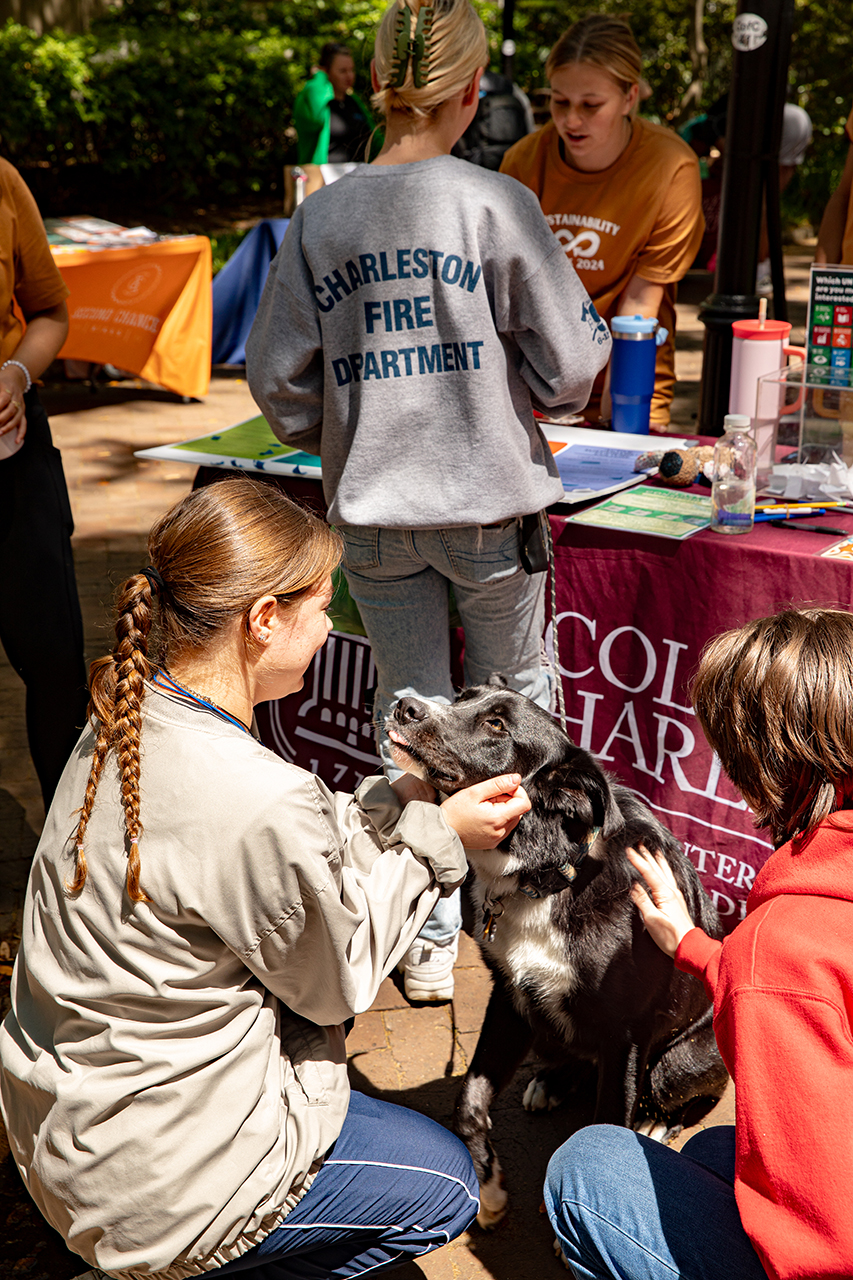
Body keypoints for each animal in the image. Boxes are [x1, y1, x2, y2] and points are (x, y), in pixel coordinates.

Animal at [384, 680, 722, 1228]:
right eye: (463, 695)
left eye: (497, 725)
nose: (405, 705)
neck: (550, 872)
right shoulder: (510, 997)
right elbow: (468, 1103)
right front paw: (490, 1191)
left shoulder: (625, 1036)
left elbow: (606, 1122)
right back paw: (553, 1081)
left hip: (678, 1062)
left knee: (684, 1094)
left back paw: (653, 1124)